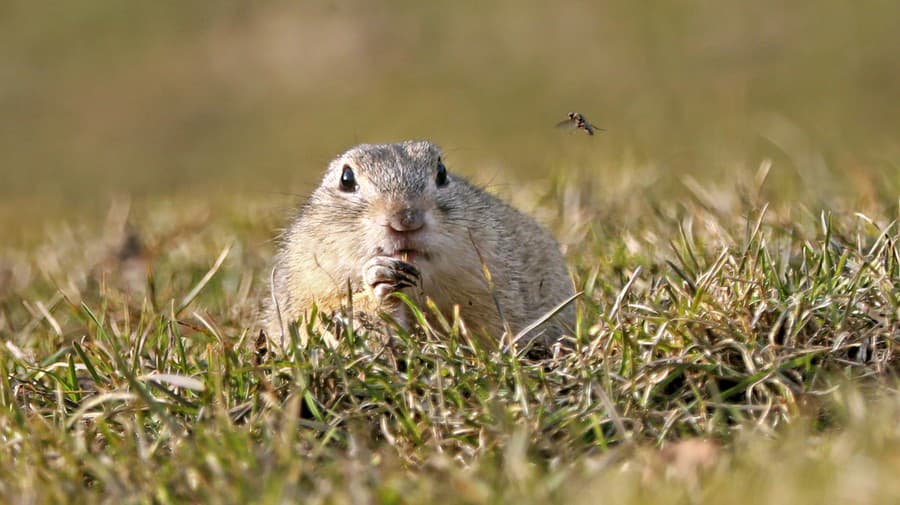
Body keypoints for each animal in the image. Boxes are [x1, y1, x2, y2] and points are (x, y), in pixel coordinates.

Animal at [260, 142, 572, 346]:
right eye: (346, 178)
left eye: (442, 172)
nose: (406, 219)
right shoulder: (303, 287)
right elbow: (314, 319)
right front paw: (379, 282)